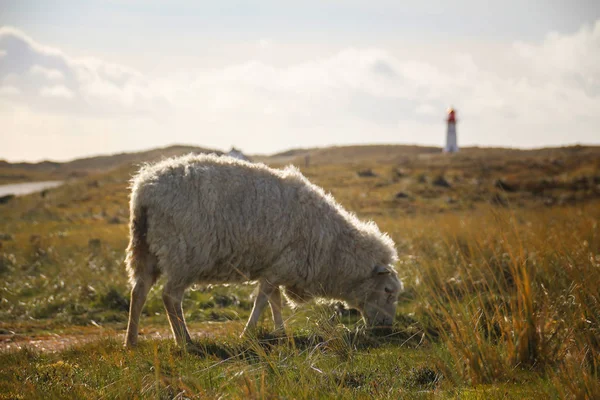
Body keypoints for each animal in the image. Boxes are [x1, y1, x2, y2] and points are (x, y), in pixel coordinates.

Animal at [123, 155, 400, 348]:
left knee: (139, 292)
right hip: (184, 254)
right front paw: (248, 333)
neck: (333, 247)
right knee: (170, 297)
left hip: (145, 250)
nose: (387, 328)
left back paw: (131, 341)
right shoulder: (282, 265)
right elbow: (263, 300)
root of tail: (144, 189)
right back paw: (185, 341)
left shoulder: (276, 266)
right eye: (387, 291)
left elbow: (274, 301)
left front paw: (280, 333)